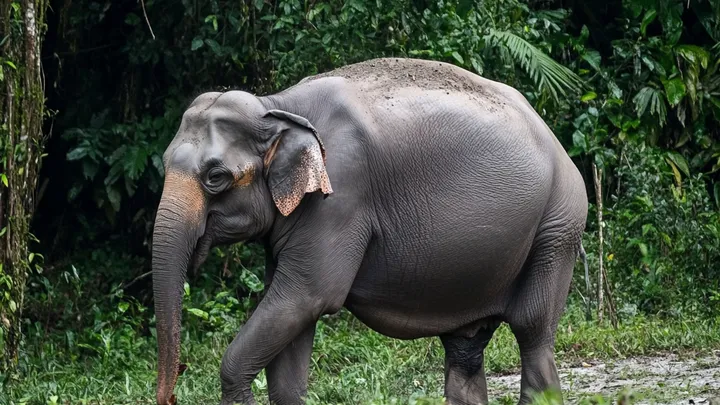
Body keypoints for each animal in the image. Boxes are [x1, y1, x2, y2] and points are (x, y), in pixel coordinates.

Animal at [151, 57, 588, 405]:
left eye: (216, 177)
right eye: (165, 163)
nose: (172, 391)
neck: (276, 105)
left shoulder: (340, 197)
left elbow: (308, 296)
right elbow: (291, 330)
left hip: (558, 224)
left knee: (532, 328)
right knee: (465, 349)